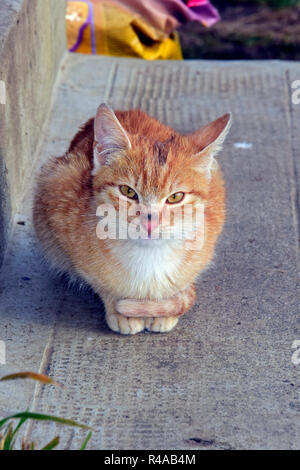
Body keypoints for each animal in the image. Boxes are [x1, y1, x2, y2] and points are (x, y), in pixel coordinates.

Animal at [34, 104, 232, 334]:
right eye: (128, 191)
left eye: (175, 197)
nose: (150, 222)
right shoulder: (57, 195)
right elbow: (102, 283)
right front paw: (119, 310)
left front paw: (164, 307)